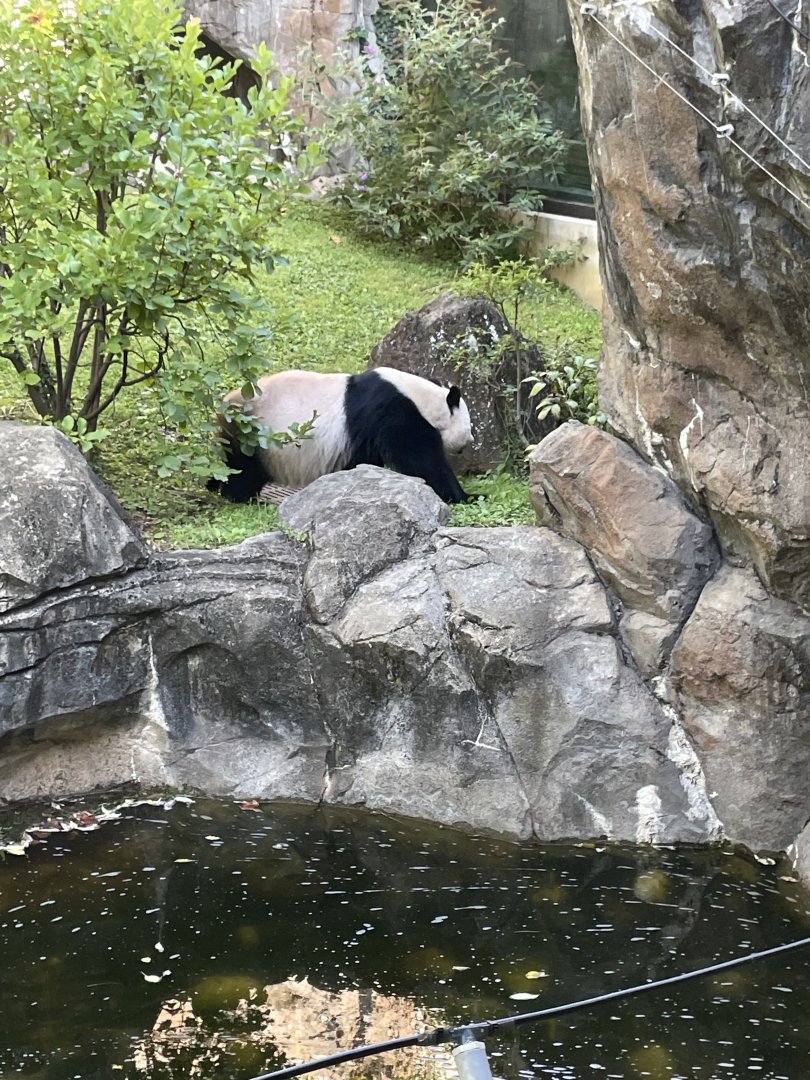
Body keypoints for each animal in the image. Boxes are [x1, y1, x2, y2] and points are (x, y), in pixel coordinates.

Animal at [208, 367, 473, 504]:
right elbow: (422, 459)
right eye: (469, 426)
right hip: (251, 434)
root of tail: (224, 406)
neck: (424, 399)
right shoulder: (394, 412)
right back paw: (239, 495)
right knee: (243, 468)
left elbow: (361, 462)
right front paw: (464, 495)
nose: (470, 442)